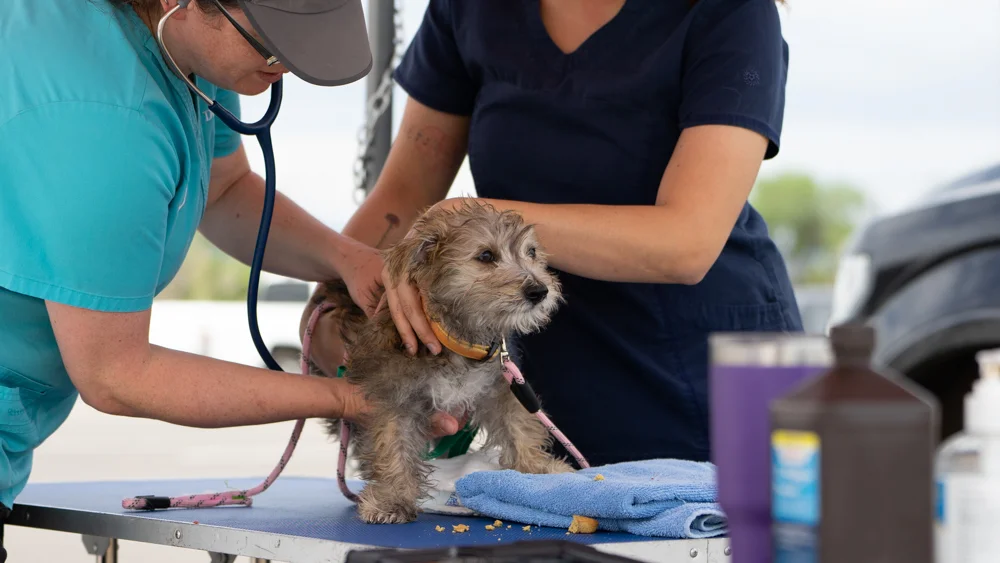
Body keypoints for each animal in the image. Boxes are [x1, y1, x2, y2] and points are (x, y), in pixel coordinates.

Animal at [316, 202, 576, 524]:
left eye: (531, 252)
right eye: (486, 256)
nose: (539, 291)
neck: (459, 341)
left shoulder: (499, 388)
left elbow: (518, 427)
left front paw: (537, 469)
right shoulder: (394, 398)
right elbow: (393, 445)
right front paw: (393, 499)